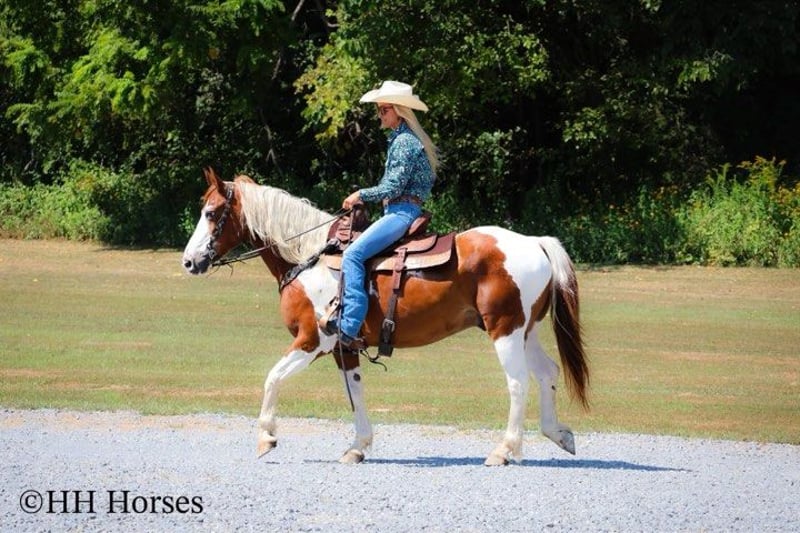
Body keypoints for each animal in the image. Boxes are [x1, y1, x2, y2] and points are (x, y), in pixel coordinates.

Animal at [182, 168, 589, 466]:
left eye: (211, 213)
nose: (188, 262)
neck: (310, 258)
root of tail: (534, 242)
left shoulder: (313, 340)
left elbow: (272, 378)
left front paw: (266, 436)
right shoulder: (345, 348)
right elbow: (356, 391)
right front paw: (358, 446)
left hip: (505, 330)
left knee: (518, 383)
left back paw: (505, 450)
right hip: (525, 331)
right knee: (547, 373)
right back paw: (559, 435)